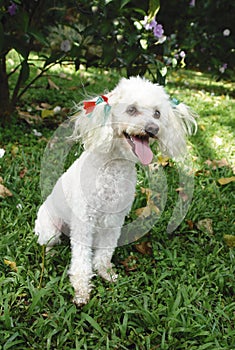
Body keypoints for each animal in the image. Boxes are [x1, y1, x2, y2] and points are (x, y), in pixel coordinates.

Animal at [34, 76, 196, 306]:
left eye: (157, 113)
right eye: (131, 109)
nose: (153, 129)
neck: (113, 168)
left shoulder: (115, 220)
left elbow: (106, 250)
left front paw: (105, 272)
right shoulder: (84, 221)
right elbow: (81, 259)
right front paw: (81, 290)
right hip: (50, 228)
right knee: (46, 243)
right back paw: (50, 253)